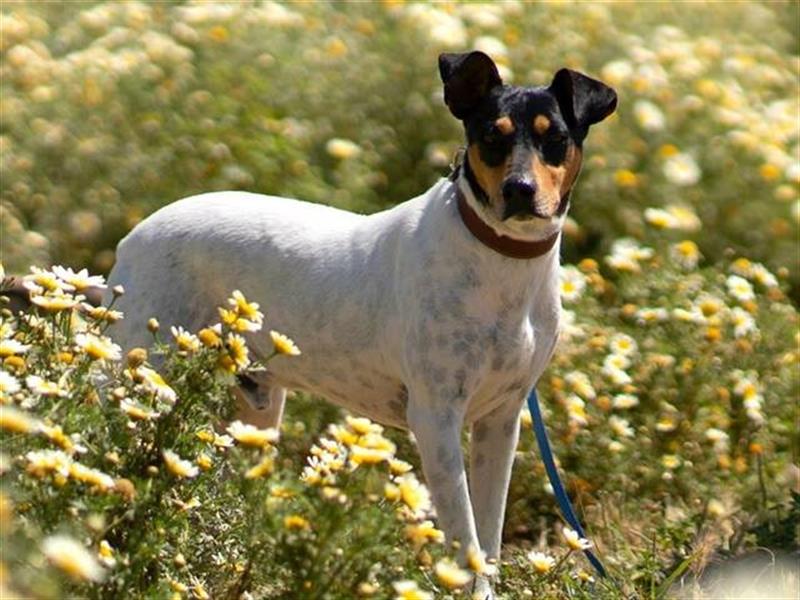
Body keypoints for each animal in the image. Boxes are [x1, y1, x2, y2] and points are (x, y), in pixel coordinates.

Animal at [108, 51, 620, 596]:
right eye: (491, 136)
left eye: (555, 138)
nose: (519, 190)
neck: (503, 260)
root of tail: (132, 238)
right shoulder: (436, 418)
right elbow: (464, 537)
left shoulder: (500, 421)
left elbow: (488, 535)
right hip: (137, 375)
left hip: (253, 414)